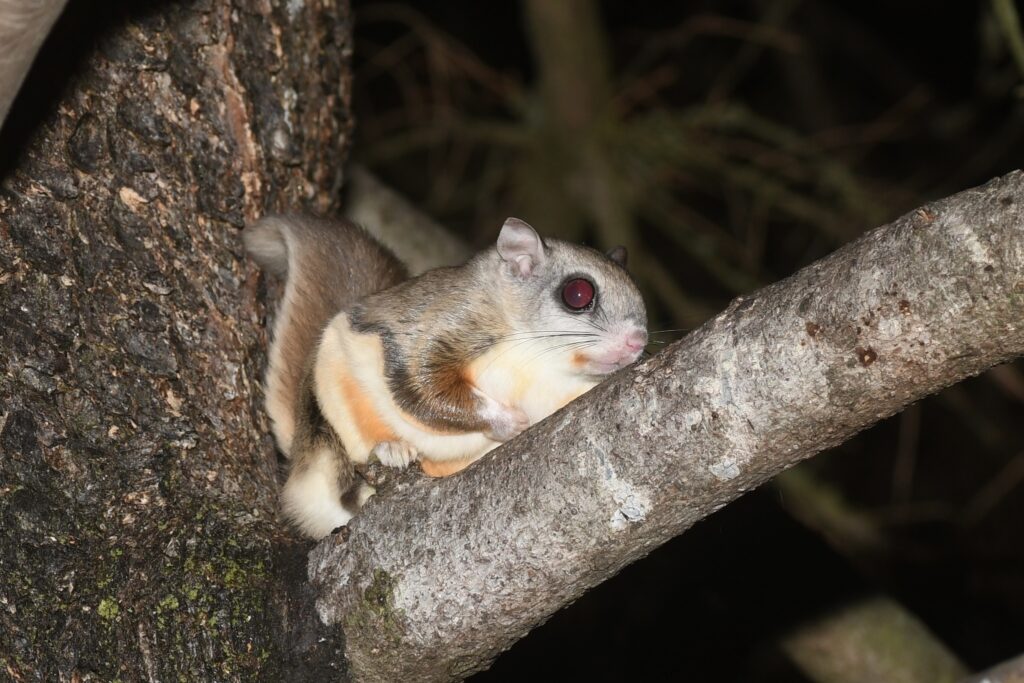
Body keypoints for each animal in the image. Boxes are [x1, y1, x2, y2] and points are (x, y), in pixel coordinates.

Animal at [244, 215, 648, 538]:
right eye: (578, 293)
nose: (638, 342)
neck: (546, 361)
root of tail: (299, 454)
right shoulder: (437, 326)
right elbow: (424, 388)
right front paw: (509, 422)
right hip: (335, 406)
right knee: (342, 483)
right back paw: (388, 454)